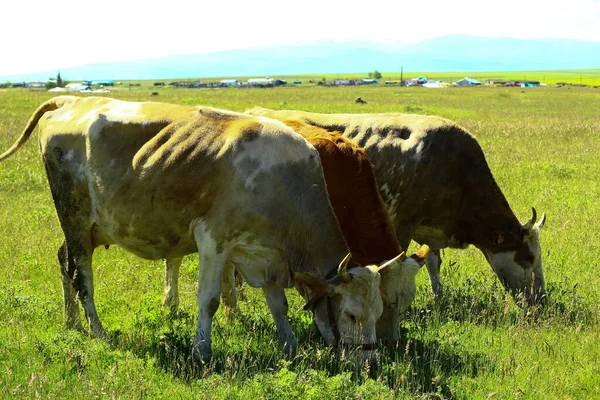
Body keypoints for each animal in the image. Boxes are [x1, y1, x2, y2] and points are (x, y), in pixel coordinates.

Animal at [0, 95, 406, 364]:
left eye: (379, 310)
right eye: (351, 315)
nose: (371, 363)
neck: (284, 181)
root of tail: (72, 100)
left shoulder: (265, 253)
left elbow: (278, 304)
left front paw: (289, 345)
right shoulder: (213, 241)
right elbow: (209, 299)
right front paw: (202, 351)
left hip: (84, 229)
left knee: (65, 263)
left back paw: (71, 323)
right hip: (75, 217)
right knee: (80, 274)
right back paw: (97, 330)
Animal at [245, 109, 548, 340]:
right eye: (529, 258)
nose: (542, 300)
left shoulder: (430, 230)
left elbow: (434, 264)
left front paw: (438, 297)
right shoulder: (401, 223)